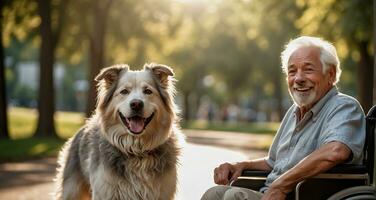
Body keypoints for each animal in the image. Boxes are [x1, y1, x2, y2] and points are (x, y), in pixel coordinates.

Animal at [55, 63, 184, 199]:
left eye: (148, 91)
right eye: (124, 91)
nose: (136, 104)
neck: (137, 150)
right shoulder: (105, 191)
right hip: (71, 191)